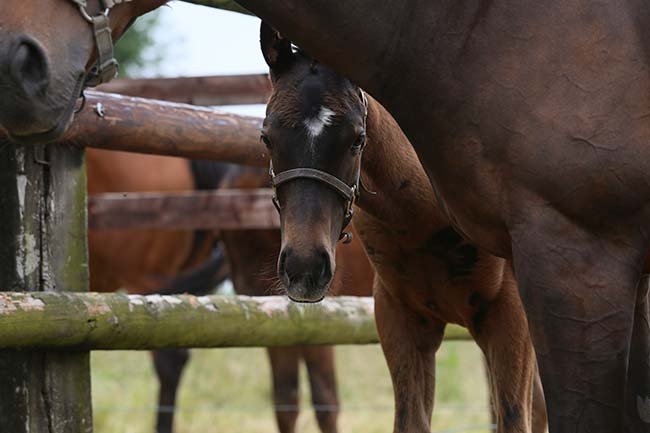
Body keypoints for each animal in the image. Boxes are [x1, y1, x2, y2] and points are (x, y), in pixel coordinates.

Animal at [258, 24, 547, 433]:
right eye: (267, 136)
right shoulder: (400, 319)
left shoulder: (509, 317)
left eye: (357, 139)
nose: (305, 267)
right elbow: (411, 420)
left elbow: (514, 416)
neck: (424, 218)